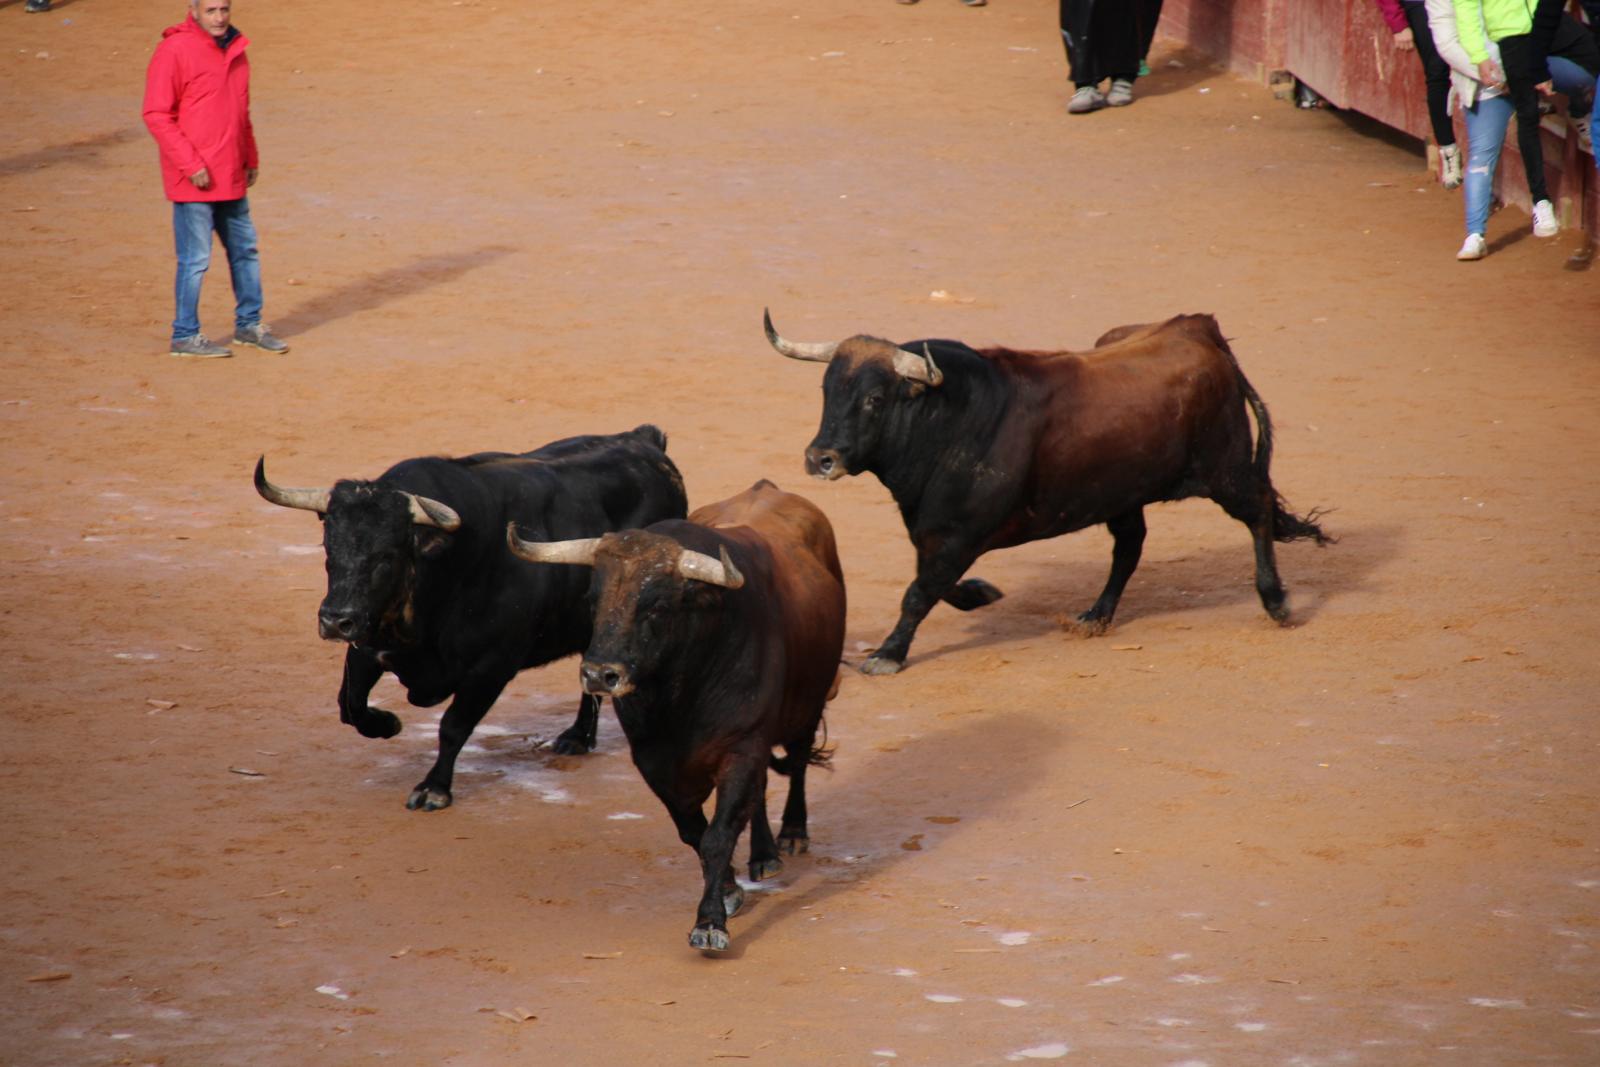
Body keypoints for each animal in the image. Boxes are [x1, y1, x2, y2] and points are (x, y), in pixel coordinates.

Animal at [256, 425, 688, 809]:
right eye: (329, 548)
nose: (335, 620)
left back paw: (579, 736)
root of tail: (643, 440)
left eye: (386, 556)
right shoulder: (368, 643)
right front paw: (387, 724)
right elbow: (350, 704)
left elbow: (453, 726)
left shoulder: (490, 668)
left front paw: (433, 788)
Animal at [508, 483, 851, 953]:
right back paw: (763, 854)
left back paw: (791, 834)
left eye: (655, 605)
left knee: (796, 763)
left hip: (807, 706)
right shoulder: (653, 761)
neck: (679, 698)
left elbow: (719, 834)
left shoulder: (742, 746)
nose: (599, 674)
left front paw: (710, 921)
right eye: (594, 600)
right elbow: (694, 831)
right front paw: (729, 889)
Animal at [768, 310, 1331, 675]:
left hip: (1226, 470)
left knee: (1258, 512)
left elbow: (918, 592)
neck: (948, 418)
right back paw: (1095, 616)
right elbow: (933, 585)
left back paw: (1276, 601)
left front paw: (887, 653)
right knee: (1130, 547)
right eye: (827, 390)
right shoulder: (934, 532)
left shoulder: (958, 536)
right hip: (1124, 494)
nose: (820, 459)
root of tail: (1203, 332)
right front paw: (981, 594)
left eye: (875, 398)